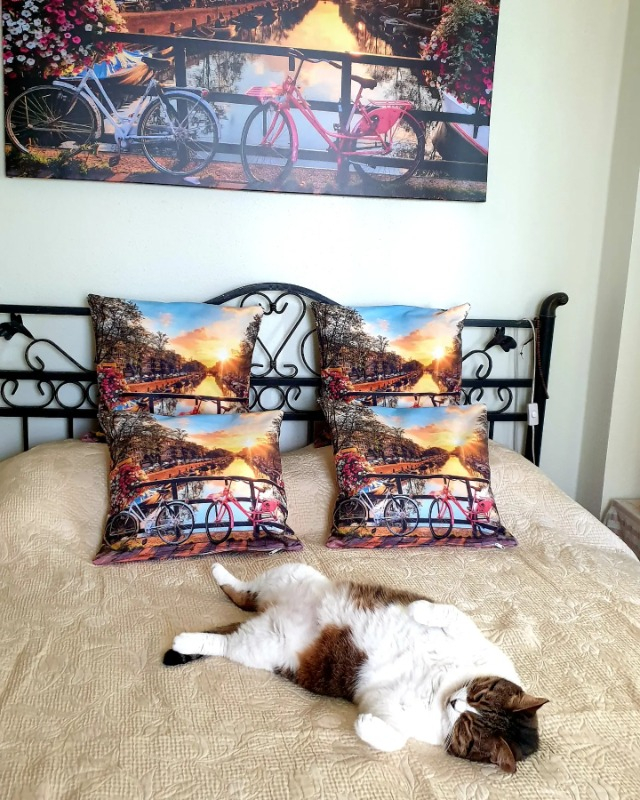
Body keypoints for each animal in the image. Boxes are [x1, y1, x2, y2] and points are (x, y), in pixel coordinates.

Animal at [164, 563, 548, 772]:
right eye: (478, 695)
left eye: (467, 727)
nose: (455, 702)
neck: (445, 686)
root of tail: (272, 611)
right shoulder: (470, 633)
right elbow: (448, 613)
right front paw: (418, 609)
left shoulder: (388, 708)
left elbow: (394, 739)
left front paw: (365, 725)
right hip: (293, 574)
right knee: (243, 591)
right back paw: (218, 571)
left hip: (263, 644)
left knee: (227, 638)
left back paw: (186, 641)